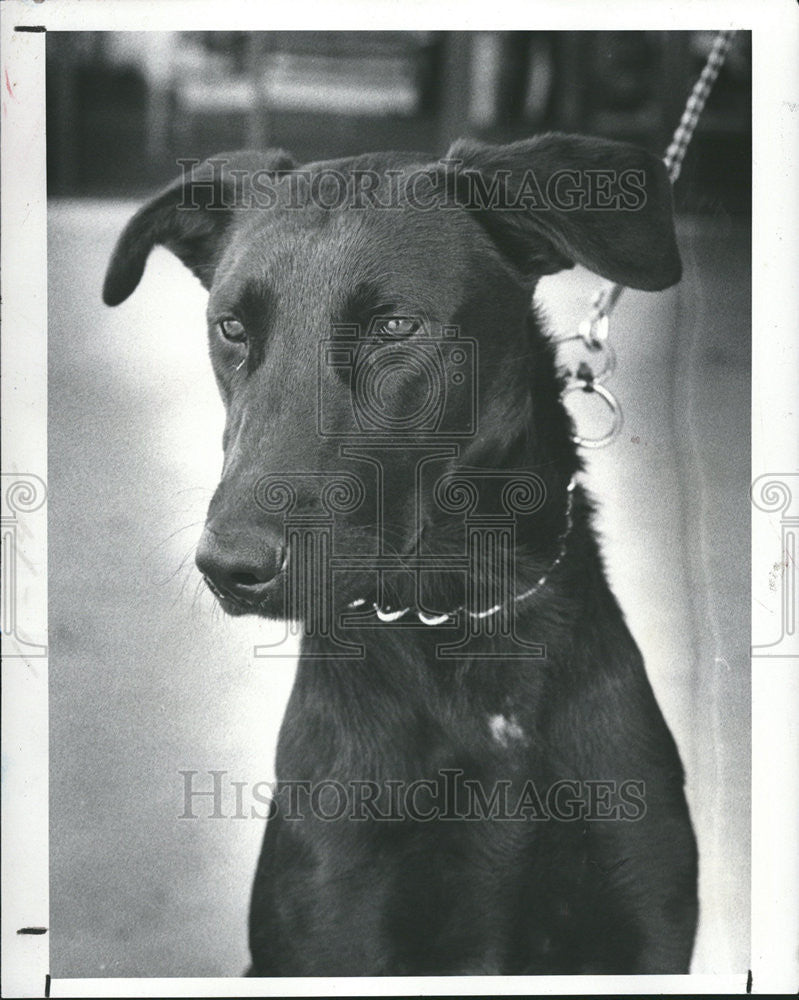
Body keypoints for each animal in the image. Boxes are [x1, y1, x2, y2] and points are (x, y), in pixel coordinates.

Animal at [103, 135, 696, 976]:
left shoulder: (646, 921)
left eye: (393, 326)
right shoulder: (332, 929)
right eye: (231, 328)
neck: (465, 621)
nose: (228, 569)